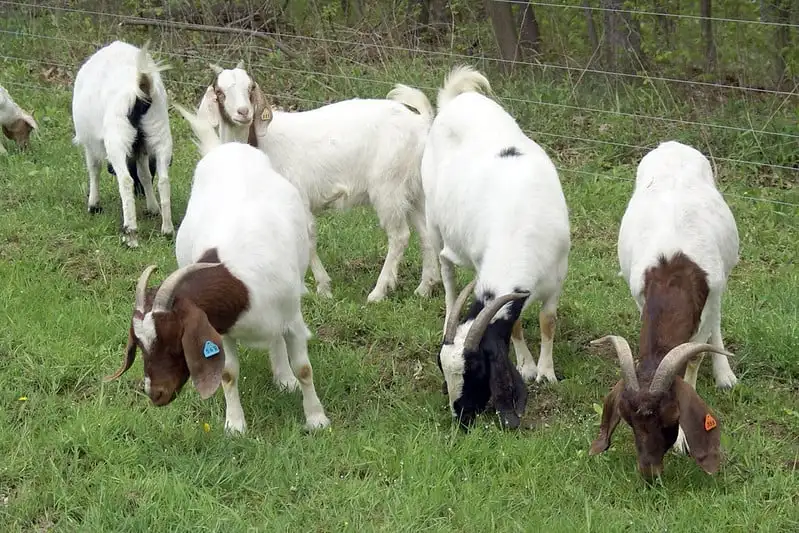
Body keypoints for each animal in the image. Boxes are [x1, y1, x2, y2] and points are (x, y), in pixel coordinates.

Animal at [71, 40, 174, 247]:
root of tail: (141, 85)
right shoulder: (140, 148)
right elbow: (144, 174)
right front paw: (153, 207)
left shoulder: (90, 142)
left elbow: (94, 169)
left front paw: (93, 205)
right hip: (159, 132)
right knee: (163, 179)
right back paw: (167, 229)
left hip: (117, 137)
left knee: (125, 180)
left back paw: (130, 233)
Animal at [104, 103, 330, 434]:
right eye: (140, 346)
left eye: (174, 340)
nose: (155, 394)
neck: (239, 283)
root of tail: (225, 149)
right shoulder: (221, 328)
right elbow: (227, 373)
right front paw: (235, 425)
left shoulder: (292, 318)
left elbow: (304, 368)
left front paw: (316, 419)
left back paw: (284, 378)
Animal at [196, 62, 440, 303]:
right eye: (220, 92)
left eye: (250, 88)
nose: (243, 112)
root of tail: (421, 122)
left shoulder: (298, 197)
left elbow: (307, 238)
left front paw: (321, 288)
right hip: (414, 190)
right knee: (426, 233)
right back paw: (424, 288)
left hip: (388, 186)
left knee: (399, 236)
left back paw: (379, 292)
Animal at [423, 66, 571, 429]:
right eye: (442, 368)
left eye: (476, 367)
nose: (460, 417)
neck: (518, 223)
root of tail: (455, 100)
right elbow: (514, 325)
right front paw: (527, 366)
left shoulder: (557, 273)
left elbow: (548, 320)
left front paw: (546, 372)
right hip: (433, 221)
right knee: (445, 268)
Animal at [589, 140, 739, 480]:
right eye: (628, 419)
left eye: (670, 418)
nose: (650, 472)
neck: (673, 272)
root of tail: (672, 144)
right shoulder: (640, 296)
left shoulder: (711, 298)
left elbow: (694, 356)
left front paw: (684, 441)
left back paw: (725, 374)